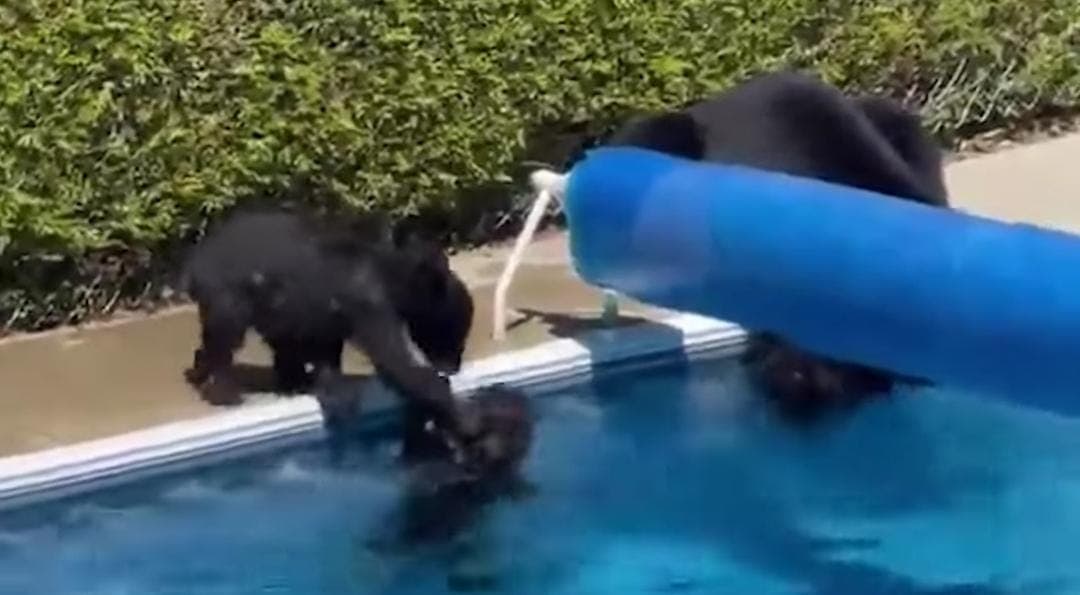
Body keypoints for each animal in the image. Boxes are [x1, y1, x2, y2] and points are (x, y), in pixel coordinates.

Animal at [181, 204, 475, 437]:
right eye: (455, 330)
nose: (454, 365)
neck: (394, 277)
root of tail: (195, 259)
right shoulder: (369, 304)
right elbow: (396, 361)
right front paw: (462, 417)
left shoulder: (331, 310)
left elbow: (327, 348)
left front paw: (333, 391)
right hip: (229, 290)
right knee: (226, 336)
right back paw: (226, 393)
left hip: (267, 300)